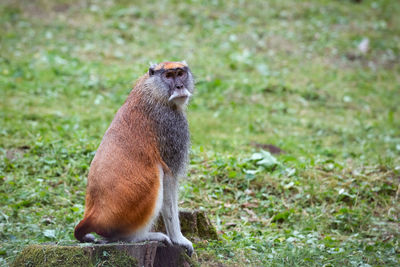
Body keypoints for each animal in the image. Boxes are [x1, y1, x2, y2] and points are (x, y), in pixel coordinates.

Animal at [74, 60, 195, 255]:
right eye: (169, 76)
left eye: (180, 73)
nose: (179, 86)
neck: (152, 90)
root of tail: (93, 217)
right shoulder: (172, 126)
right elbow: (169, 180)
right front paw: (179, 239)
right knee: (157, 173)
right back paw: (138, 237)